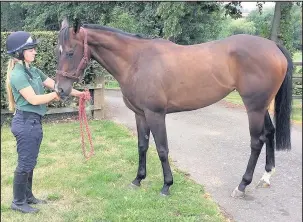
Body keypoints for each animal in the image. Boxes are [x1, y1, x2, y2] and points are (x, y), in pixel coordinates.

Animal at [53, 18, 294, 197]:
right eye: (57, 52)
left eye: (71, 52)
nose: (60, 89)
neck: (136, 61)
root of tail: (273, 46)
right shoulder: (140, 115)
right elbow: (142, 146)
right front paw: (138, 179)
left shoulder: (156, 114)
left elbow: (162, 149)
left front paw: (167, 185)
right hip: (262, 106)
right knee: (269, 133)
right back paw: (266, 177)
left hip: (253, 107)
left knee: (256, 142)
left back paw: (242, 185)